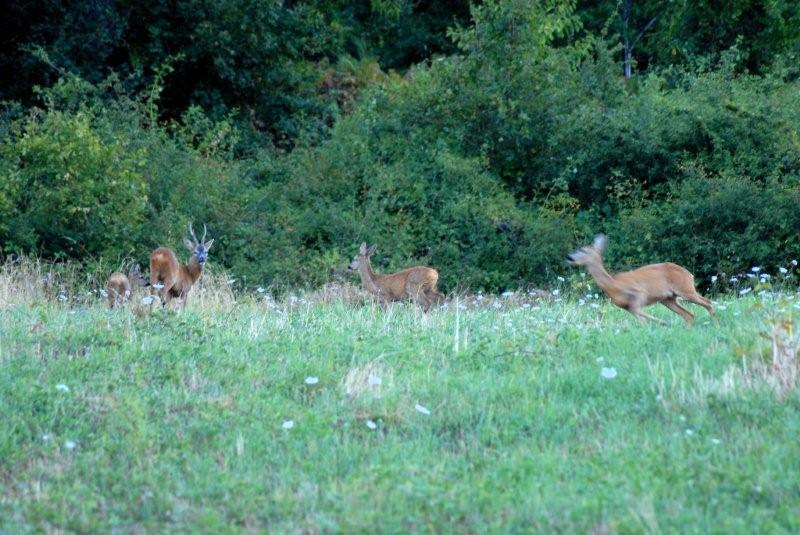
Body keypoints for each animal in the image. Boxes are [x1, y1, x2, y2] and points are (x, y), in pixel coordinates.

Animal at [564, 234, 716, 326]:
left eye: (583, 250)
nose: (568, 257)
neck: (612, 284)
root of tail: (689, 274)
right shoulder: (625, 306)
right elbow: (639, 317)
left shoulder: (639, 292)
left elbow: (638, 312)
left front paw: (663, 323)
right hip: (668, 299)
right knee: (689, 315)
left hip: (685, 289)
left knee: (707, 303)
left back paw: (716, 326)